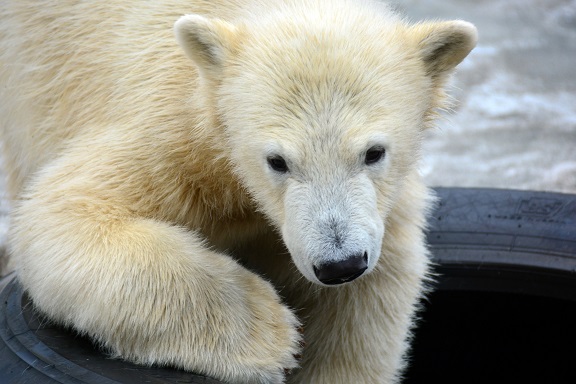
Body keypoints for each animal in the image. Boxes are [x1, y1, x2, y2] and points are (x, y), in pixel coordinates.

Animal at [0, 0, 476, 382]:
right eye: (277, 161)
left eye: (374, 152)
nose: (339, 264)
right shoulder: (169, 136)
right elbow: (61, 214)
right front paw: (266, 333)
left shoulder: (384, 208)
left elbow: (367, 302)